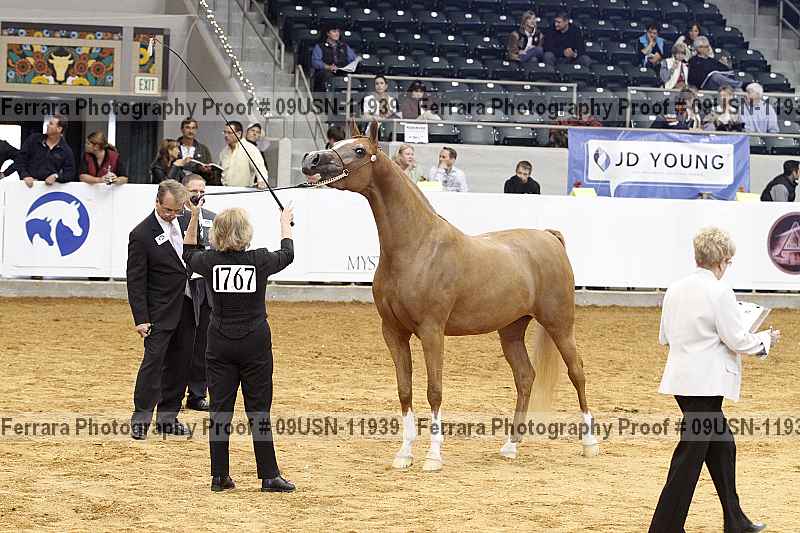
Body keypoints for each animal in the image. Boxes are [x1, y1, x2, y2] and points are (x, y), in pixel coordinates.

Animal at [301, 121, 599, 471]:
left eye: (359, 150)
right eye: (337, 144)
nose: (311, 160)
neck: (416, 246)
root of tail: (549, 237)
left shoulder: (432, 331)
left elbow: (434, 390)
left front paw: (433, 456)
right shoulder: (394, 332)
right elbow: (405, 390)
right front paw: (404, 454)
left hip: (559, 324)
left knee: (577, 372)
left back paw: (590, 443)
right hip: (511, 330)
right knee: (525, 377)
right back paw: (511, 446)